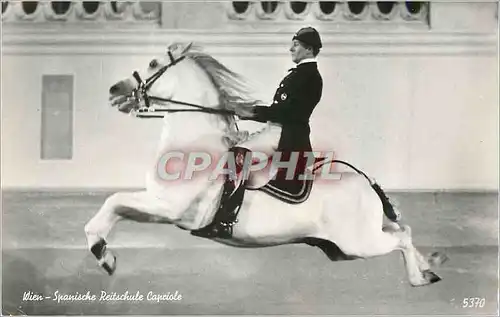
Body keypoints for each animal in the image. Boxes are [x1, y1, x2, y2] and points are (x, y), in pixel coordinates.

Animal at [84, 42, 448, 286]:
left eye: (153, 62)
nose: (114, 91)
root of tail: (365, 181)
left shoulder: (170, 208)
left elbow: (114, 201)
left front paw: (102, 253)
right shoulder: (157, 204)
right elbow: (114, 205)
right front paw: (105, 253)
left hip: (358, 243)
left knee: (402, 238)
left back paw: (420, 277)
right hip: (345, 246)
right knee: (403, 231)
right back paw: (430, 266)